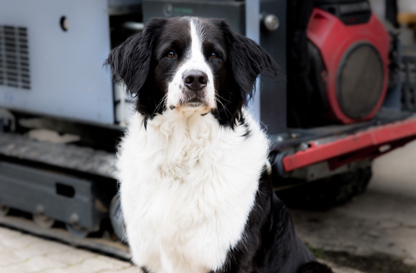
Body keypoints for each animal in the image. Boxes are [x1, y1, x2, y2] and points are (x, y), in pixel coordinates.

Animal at [105, 17, 334, 272]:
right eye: (170, 53)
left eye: (214, 55)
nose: (196, 79)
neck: (184, 153)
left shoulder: (234, 257)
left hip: (314, 267)